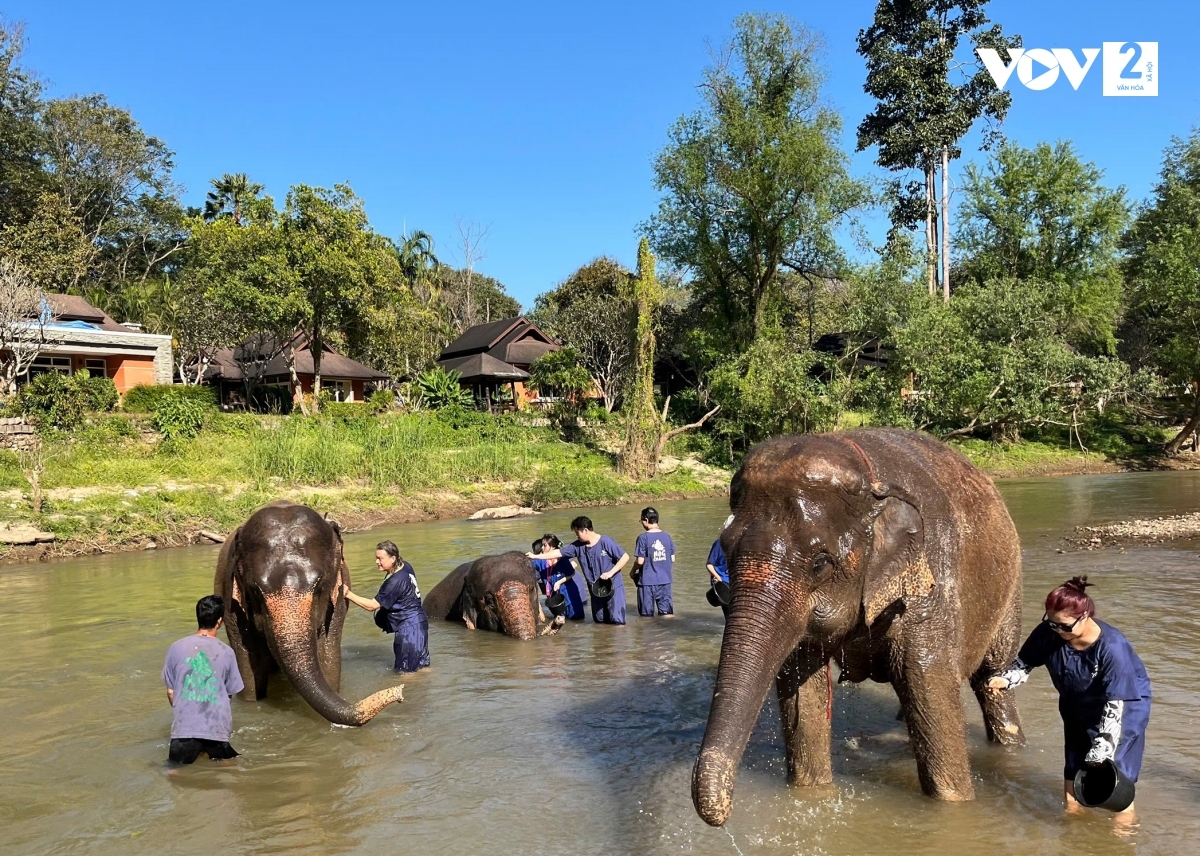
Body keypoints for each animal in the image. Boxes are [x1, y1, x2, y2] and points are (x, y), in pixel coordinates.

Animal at [214, 501, 403, 729]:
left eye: (320, 585)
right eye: (255, 590)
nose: (400, 693)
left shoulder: (337, 601)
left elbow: (328, 652)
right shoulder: (229, 599)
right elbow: (249, 662)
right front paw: (252, 702)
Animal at [696, 429, 1022, 825]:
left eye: (820, 563)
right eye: (725, 550)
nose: (724, 815)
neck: (868, 477)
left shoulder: (930, 582)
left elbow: (927, 679)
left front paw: (954, 809)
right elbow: (803, 689)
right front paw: (812, 794)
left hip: (1011, 588)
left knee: (993, 680)